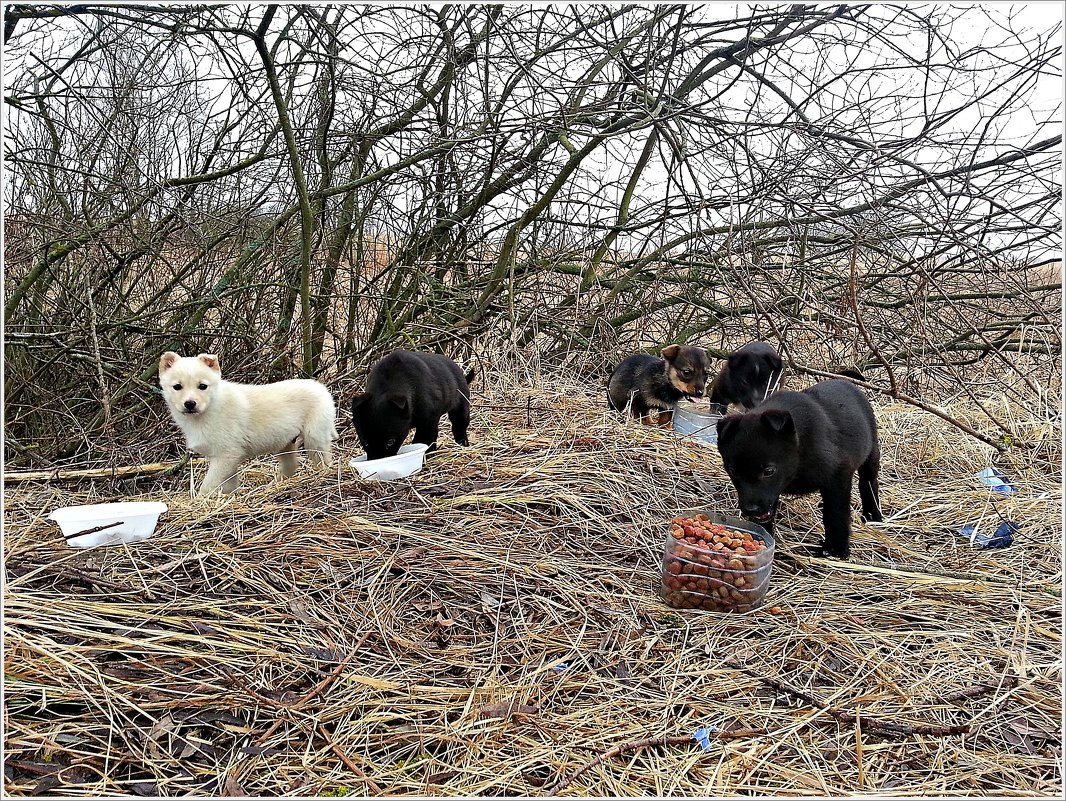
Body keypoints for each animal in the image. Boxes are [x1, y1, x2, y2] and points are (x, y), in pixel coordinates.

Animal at [157, 349, 336, 494]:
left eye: (203, 386)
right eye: (177, 387)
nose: (190, 404)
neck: (209, 409)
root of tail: (322, 388)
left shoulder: (226, 455)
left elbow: (208, 485)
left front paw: (201, 502)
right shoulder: (227, 460)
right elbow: (228, 485)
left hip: (314, 437)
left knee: (323, 460)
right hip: (284, 444)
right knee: (290, 466)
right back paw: (274, 485)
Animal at [716, 379, 882, 558]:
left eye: (768, 471)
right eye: (733, 471)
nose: (751, 510)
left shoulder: (838, 477)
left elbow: (836, 514)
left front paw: (836, 549)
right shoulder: (772, 493)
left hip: (872, 453)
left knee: (868, 483)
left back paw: (873, 514)